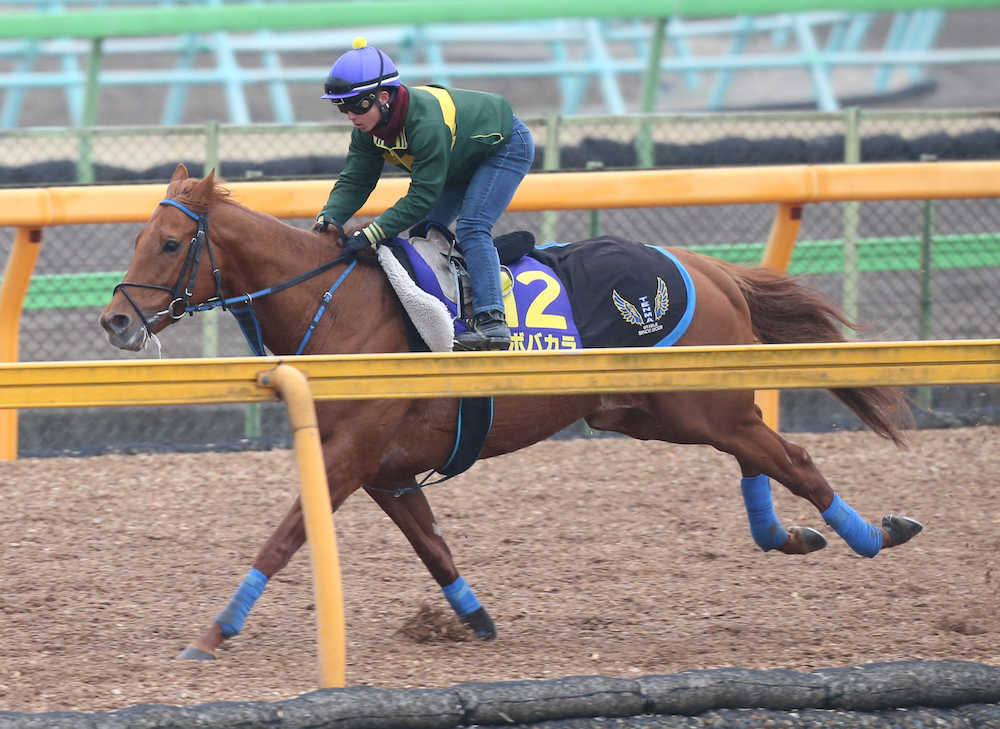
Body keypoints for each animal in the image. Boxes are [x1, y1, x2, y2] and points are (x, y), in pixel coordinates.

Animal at [99, 165, 920, 660]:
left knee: (793, 459)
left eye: (168, 243)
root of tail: (709, 267)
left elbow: (286, 534)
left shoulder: (351, 453)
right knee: (757, 455)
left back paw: (874, 531)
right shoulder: (384, 469)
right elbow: (433, 547)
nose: (114, 321)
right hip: (651, 412)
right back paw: (793, 535)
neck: (336, 307)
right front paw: (475, 620)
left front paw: (215, 630)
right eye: (136, 238)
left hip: (699, 405)